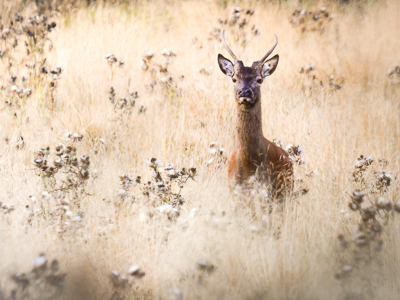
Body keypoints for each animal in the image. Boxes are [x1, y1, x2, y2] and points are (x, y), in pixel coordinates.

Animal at [217, 31, 292, 197]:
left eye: (259, 79)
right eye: (234, 78)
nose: (244, 91)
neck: (249, 167)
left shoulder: (268, 193)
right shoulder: (234, 191)